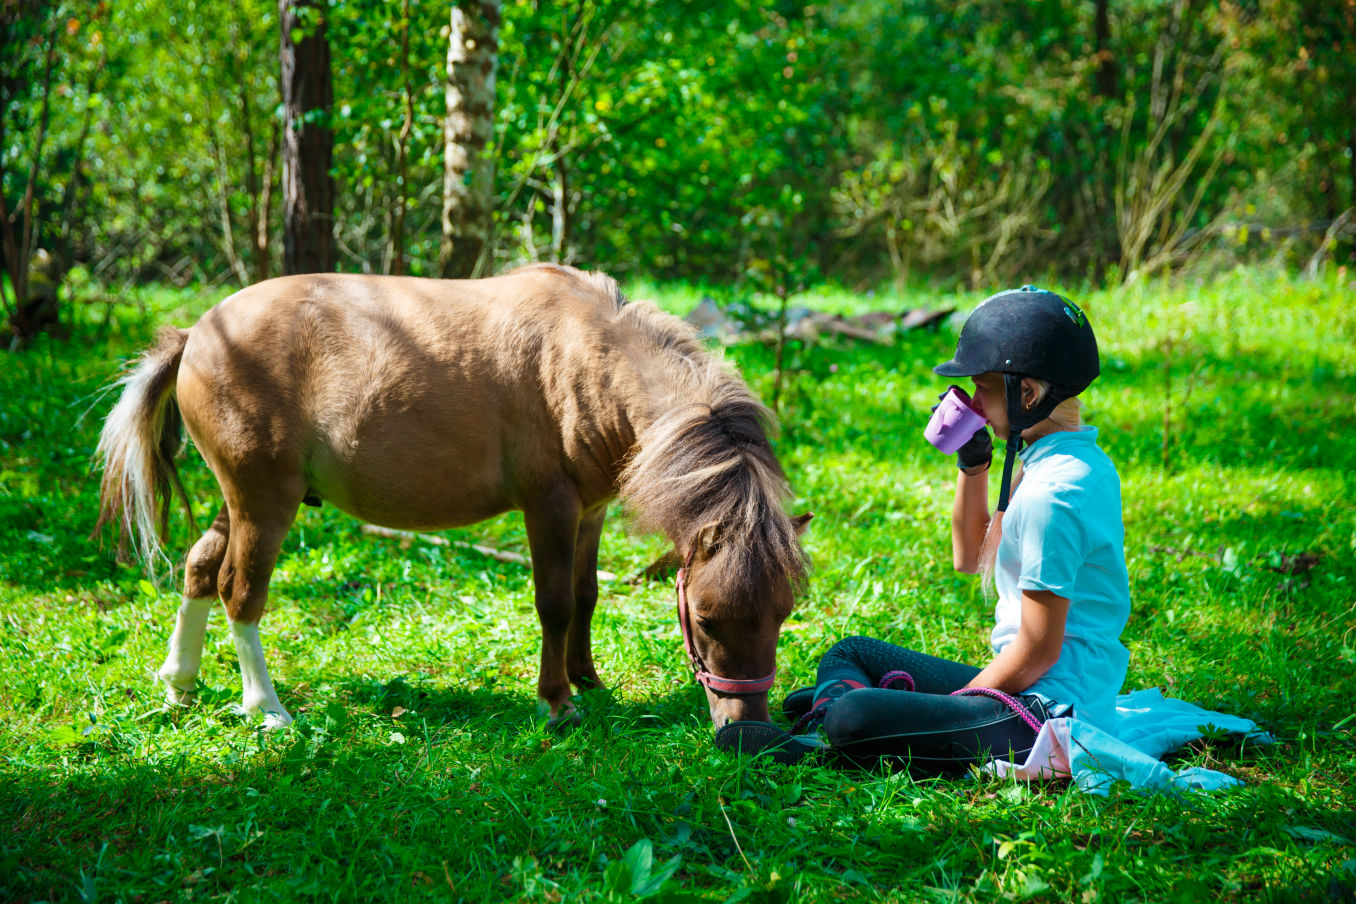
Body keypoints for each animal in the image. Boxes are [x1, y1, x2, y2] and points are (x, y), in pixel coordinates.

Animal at [100, 265, 808, 731]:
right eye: (707, 620)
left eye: (783, 614)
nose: (749, 731)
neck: (588, 359)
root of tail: (198, 332)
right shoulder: (549, 507)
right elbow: (554, 605)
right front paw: (557, 700)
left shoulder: (590, 511)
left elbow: (585, 597)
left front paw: (589, 680)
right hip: (264, 501)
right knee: (239, 592)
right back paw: (265, 709)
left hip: (243, 499)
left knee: (199, 568)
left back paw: (180, 685)